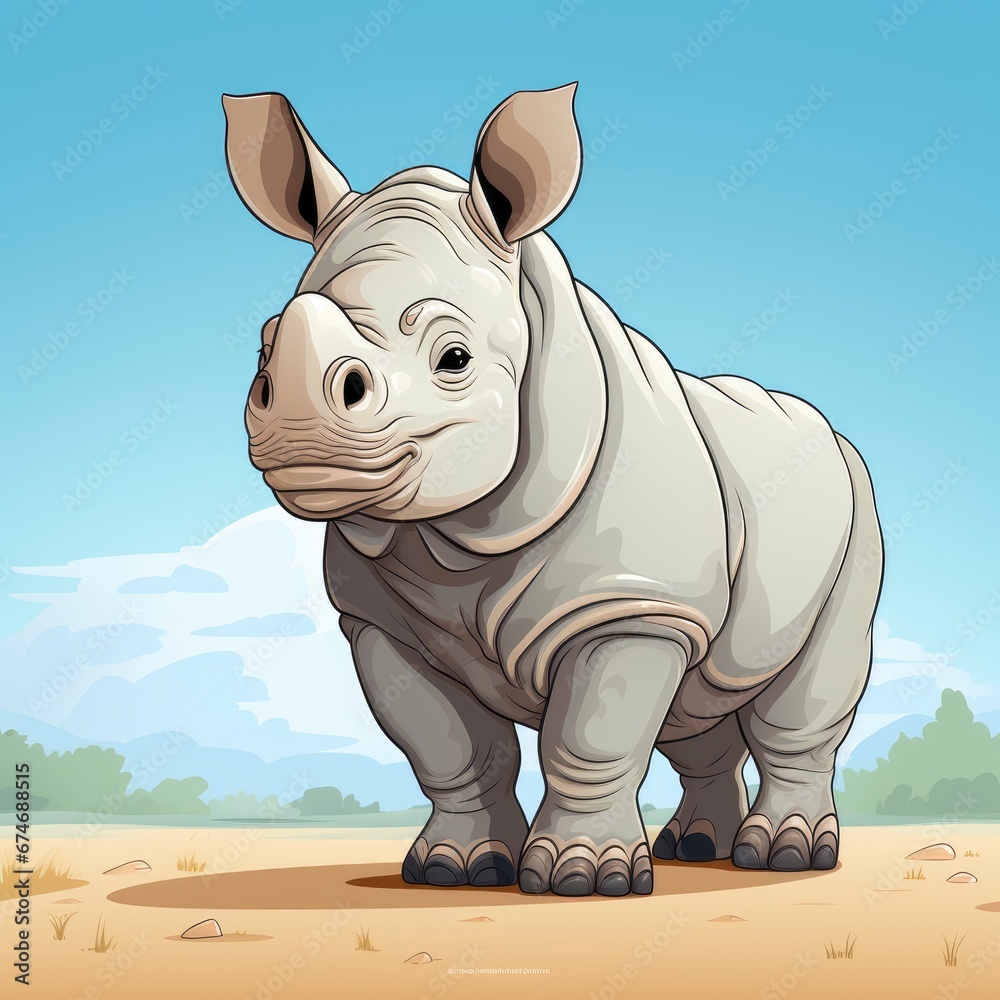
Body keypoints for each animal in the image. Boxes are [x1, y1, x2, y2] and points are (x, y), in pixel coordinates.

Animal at [223, 84, 883, 896]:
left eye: (454, 358)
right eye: (263, 353)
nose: (297, 431)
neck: (455, 537)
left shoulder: (630, 604)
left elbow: (590, 739)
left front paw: (585, 879)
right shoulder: (380, 621)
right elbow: (451, 748)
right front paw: (455, 869)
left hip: (855, 503)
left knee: (804, 696)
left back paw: (787, 856)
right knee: (697, 709)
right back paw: (697, 848)